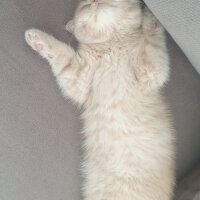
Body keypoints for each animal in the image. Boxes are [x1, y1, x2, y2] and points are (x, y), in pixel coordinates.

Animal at [24, 0, 175, 199]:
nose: (95, 2)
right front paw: (37, 40)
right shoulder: (79, 79)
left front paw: (150, 19)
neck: (112, 46)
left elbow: (153, 43)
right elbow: (63, 56)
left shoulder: (151, 71)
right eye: (86, 5)